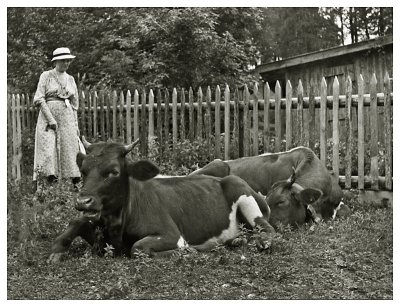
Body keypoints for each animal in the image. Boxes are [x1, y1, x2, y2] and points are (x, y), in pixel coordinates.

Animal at [47, 140, 276, 262]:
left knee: (268, 230)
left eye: (114, 171)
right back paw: (236, 240)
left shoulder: (171, 234)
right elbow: (76, 222)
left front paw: (191, 250)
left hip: (242, 194)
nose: (83, 201)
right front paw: (57, 249)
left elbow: (138, 248)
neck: (118, 227)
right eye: (83, 171)